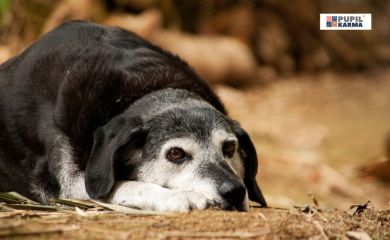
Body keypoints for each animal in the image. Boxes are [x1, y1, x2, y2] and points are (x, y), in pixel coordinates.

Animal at [0, 21, 266, 212]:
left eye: (229, 147)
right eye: (175, 154)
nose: (234, 192)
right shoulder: (68, 184)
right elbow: (127, 185)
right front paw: (179, 196)